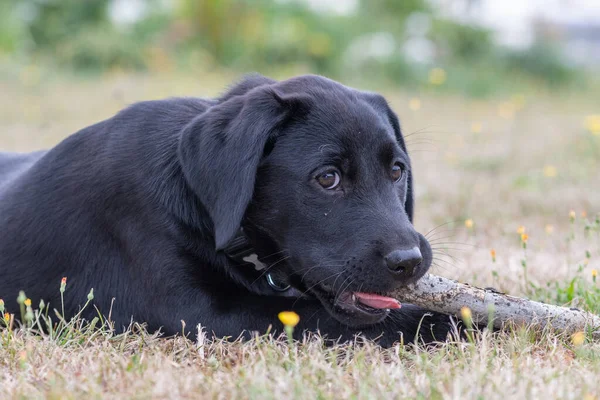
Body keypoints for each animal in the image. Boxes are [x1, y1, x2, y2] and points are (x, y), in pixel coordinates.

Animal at [0, 75, 452, 346]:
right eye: (328, 178)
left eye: (397, 171)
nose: (409, 262)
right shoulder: (199, 314)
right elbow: (327, 317)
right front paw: (456, 321)